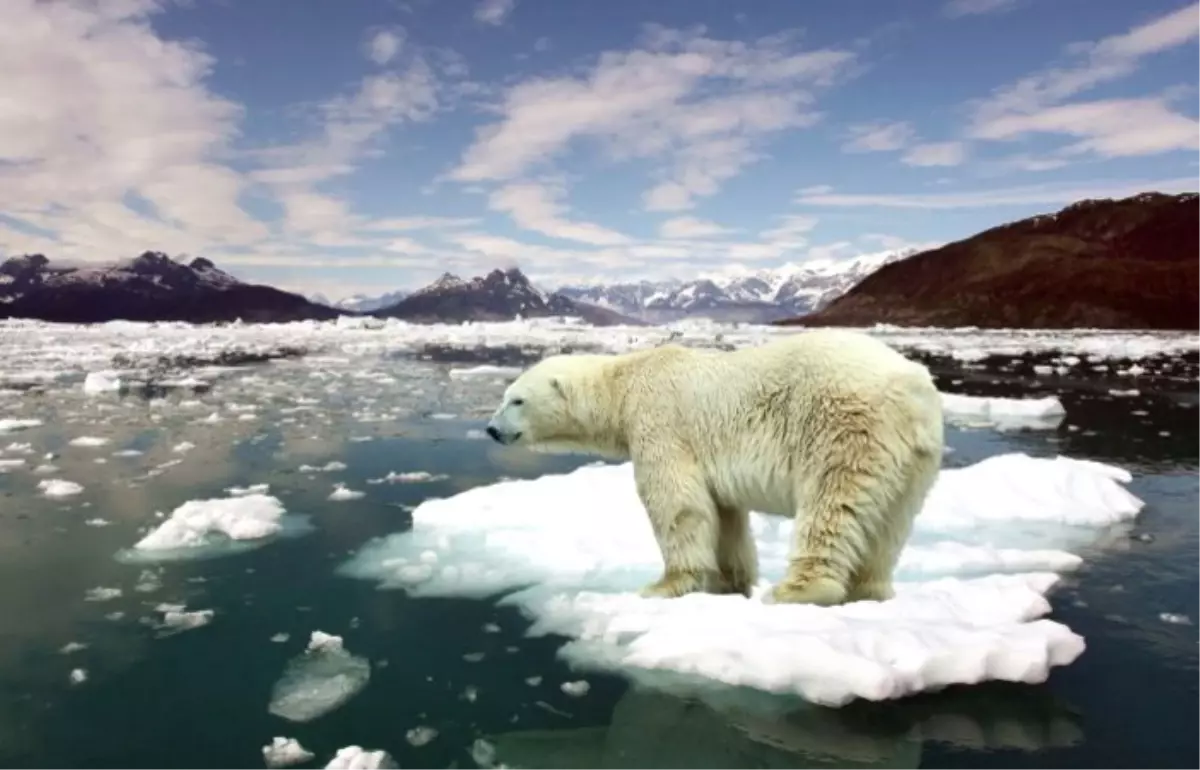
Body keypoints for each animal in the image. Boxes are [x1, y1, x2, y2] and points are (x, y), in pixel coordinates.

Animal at [482, 326, 940, 602]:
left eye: (516, 400)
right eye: (505, 397)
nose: (490, 429)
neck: (625, 384)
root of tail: (913, 388)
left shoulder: (661, 423)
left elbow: (677, 504)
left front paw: (664, 585)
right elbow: (725, 515)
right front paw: (730, 583)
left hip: (844, 427)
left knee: (832, 505)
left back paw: (796, 591)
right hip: (913, 461)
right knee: (889, 525)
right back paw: (869, 591)